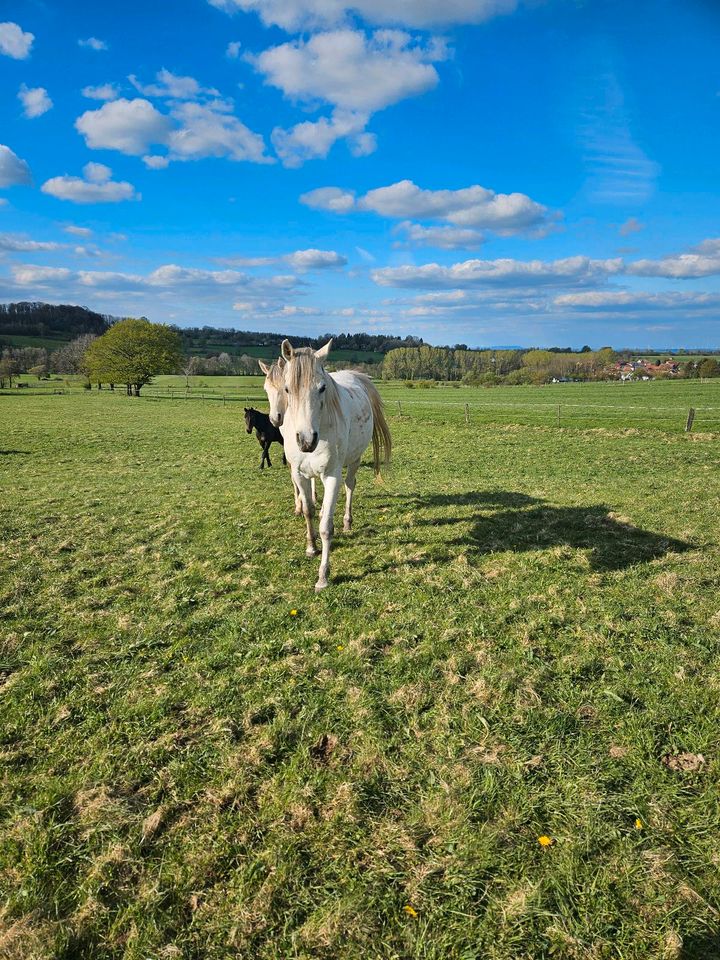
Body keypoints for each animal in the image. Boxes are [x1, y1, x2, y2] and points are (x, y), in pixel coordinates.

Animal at [278, 338, 390, 592]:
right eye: (287, 389)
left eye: (322, 388)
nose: (306, 440)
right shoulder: (299, 475)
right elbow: (308, 511)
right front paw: (311, 547)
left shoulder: (331, 476)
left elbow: (326, 527)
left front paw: (323, 576)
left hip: (354, 461)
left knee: (350, 486)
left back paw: (347, 522)